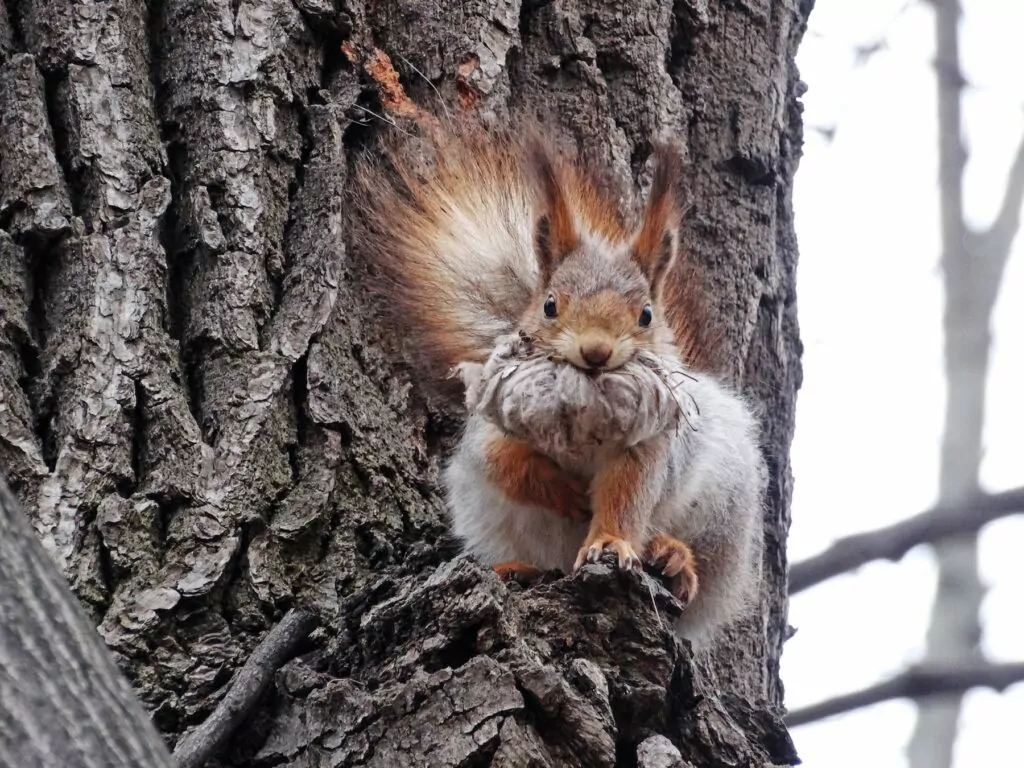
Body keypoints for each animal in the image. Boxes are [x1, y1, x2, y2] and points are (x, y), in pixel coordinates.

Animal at [348, 124, 765, 651]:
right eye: (550, 304)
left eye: (646, 314)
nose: (596, 350)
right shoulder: (493, 431)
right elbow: (506, 464)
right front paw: (567, 495)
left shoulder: (647, 445)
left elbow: (626, 495)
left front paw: (610, 539)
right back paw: (515, 568)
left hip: (724, 507)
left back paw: (673, 559)